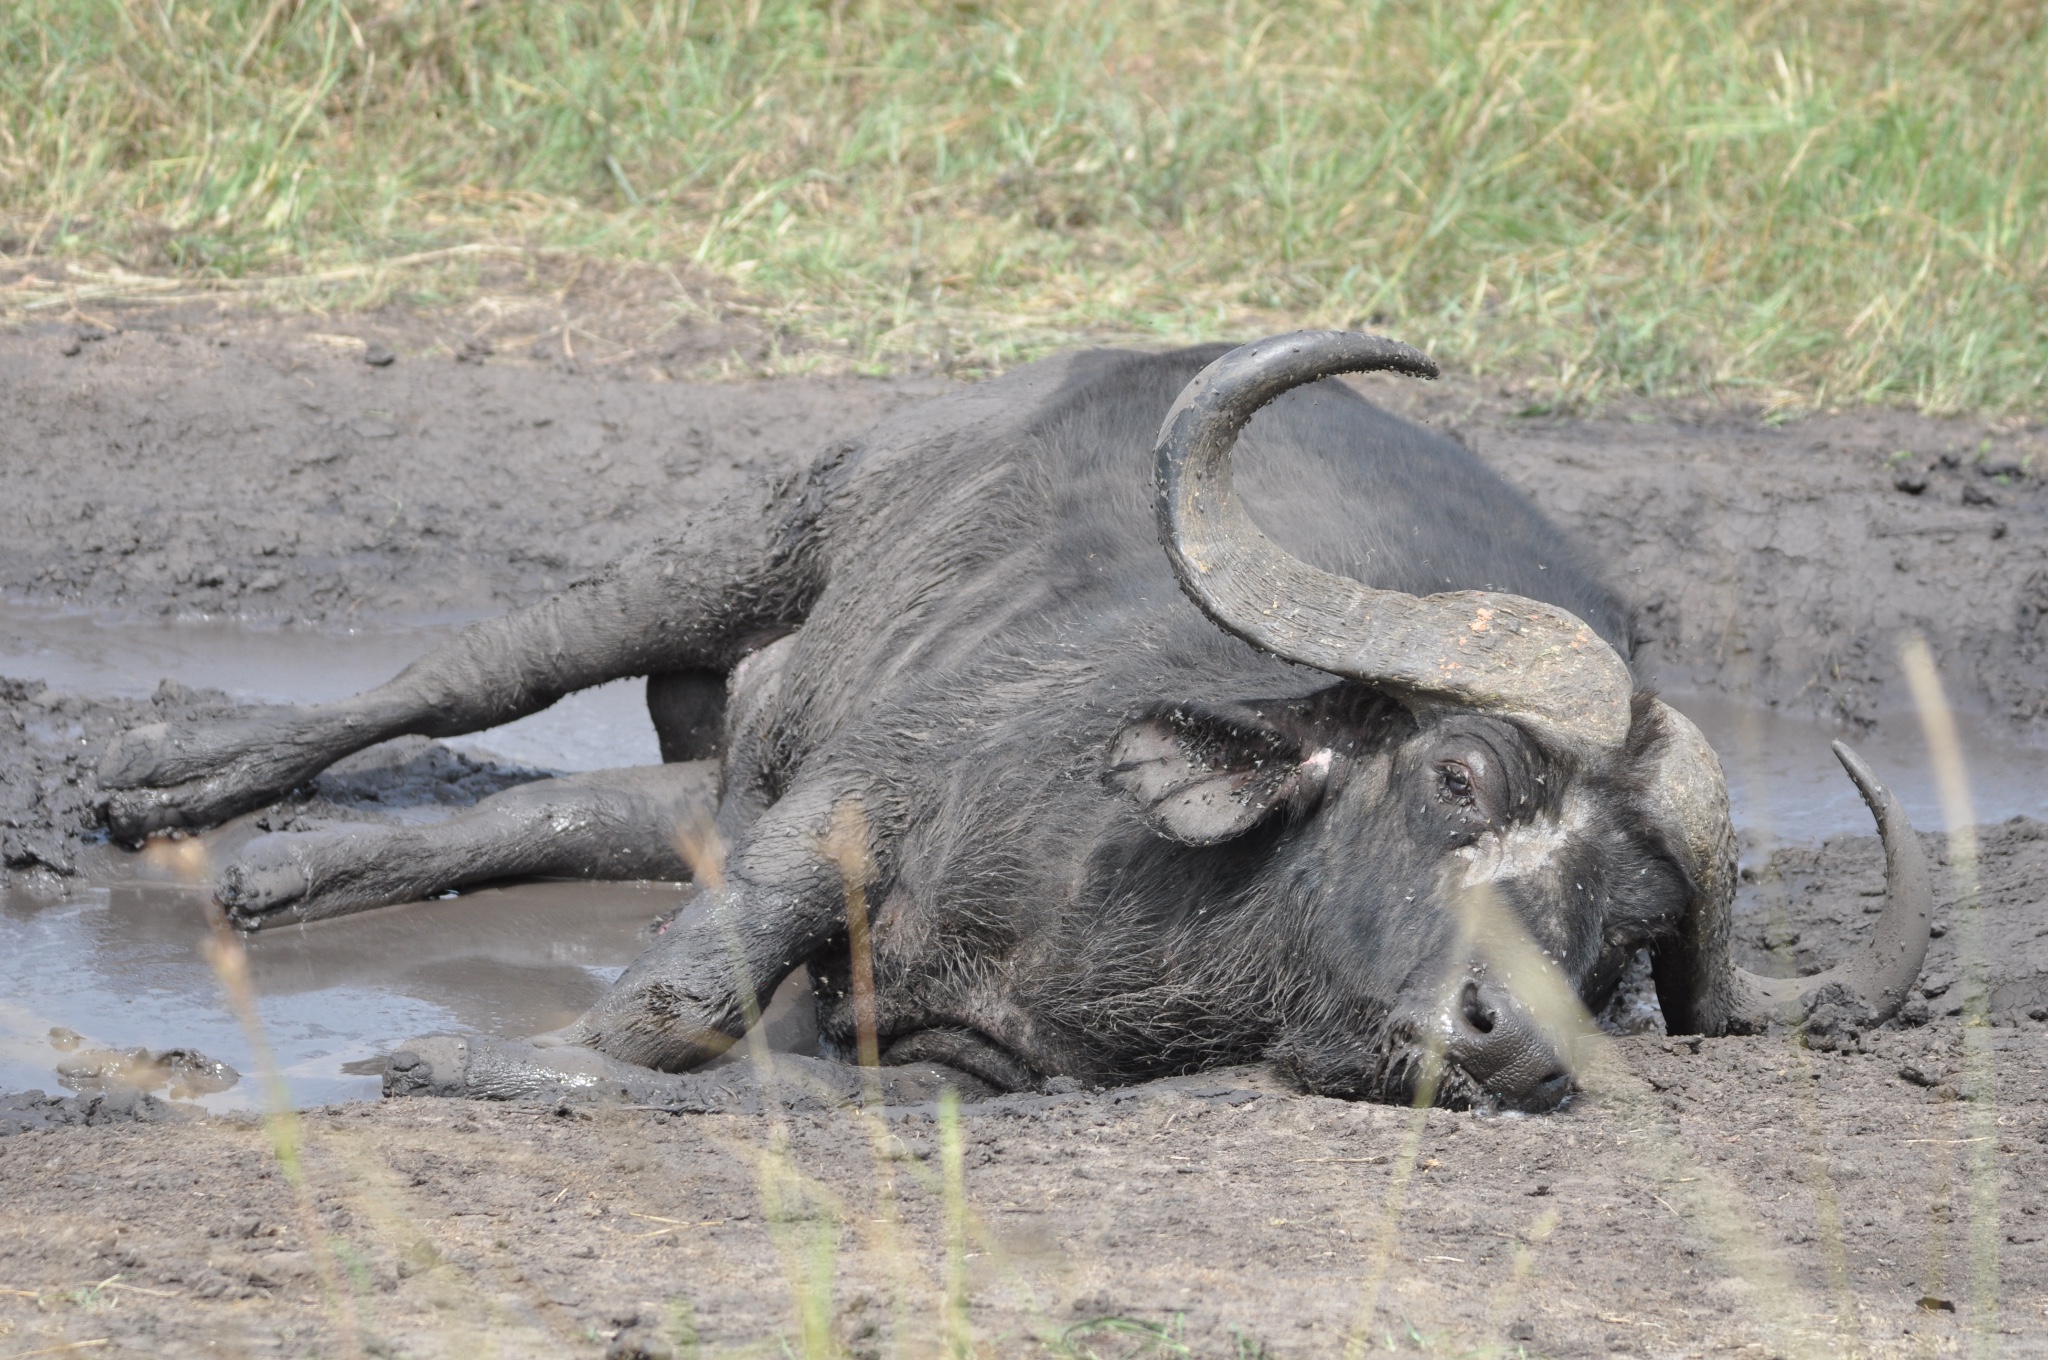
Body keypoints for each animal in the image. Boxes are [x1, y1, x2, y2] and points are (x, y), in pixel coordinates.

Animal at [96, 333, 1925, 1114]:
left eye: (1627, 936)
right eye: (1460, 775)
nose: (1512, 1038)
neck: (1171, 918)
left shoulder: (966, 1041)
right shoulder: (859, 795)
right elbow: (682, 1000)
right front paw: (481, 1058)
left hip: (734, 759)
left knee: (576, 807)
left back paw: (270, 873)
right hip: (767, 531)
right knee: (488, 667)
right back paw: (175, 782)